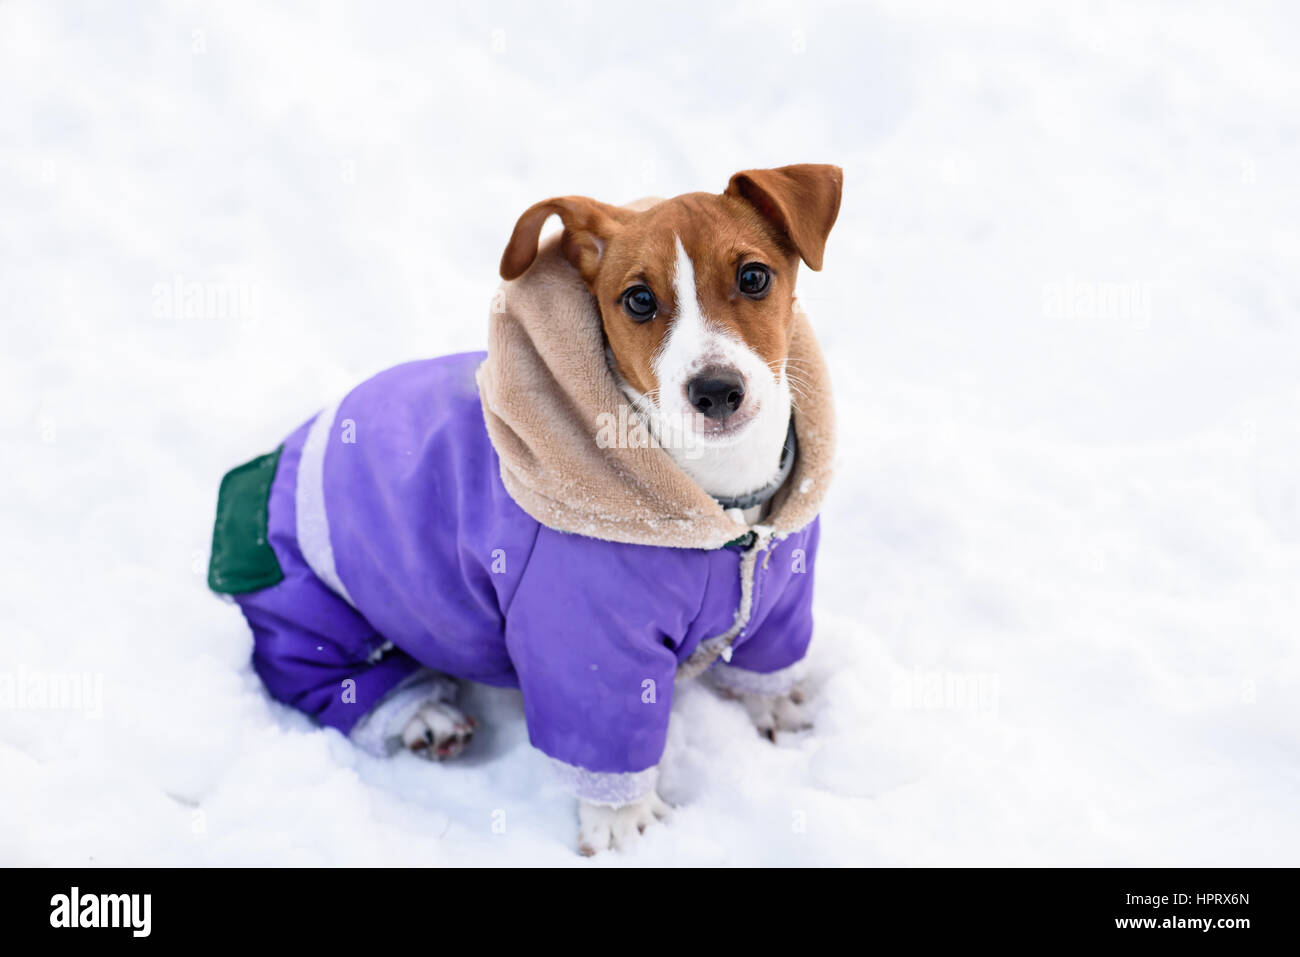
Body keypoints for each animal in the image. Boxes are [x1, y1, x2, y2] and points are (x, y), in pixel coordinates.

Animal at [208, 162, 842, 852]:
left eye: (753, 277)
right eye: (638, 300)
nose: (716, 391)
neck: (725, 511)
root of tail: (273, 461)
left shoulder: (783, 596)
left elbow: (767, 663)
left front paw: (776, 708)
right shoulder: (588, 645)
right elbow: (607, 748)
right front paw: (624, 826)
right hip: (312, 611)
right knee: (333, 678)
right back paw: (424, 715)